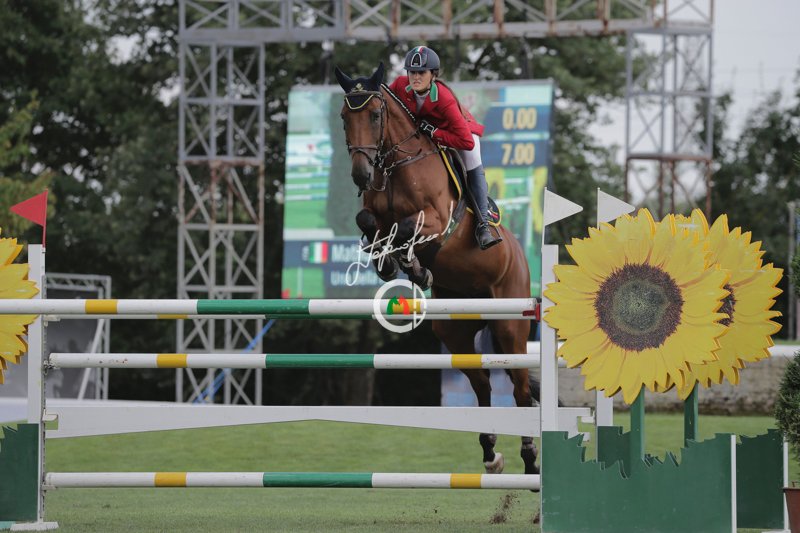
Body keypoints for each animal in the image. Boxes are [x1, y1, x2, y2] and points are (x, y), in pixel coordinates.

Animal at [334, 63, 539, 477]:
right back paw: (490, 454)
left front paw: (413, 266)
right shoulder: (374, 213)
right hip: (455, 331)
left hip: (510, 325)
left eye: (375, 115)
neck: (397, 163)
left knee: (521, 389)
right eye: (345, 117)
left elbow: (408, 228)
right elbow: (369, 221)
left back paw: (529, 458)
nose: (362, 175)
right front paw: (388, 263)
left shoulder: (437, 220)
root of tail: (519, 254)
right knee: (482, 383)